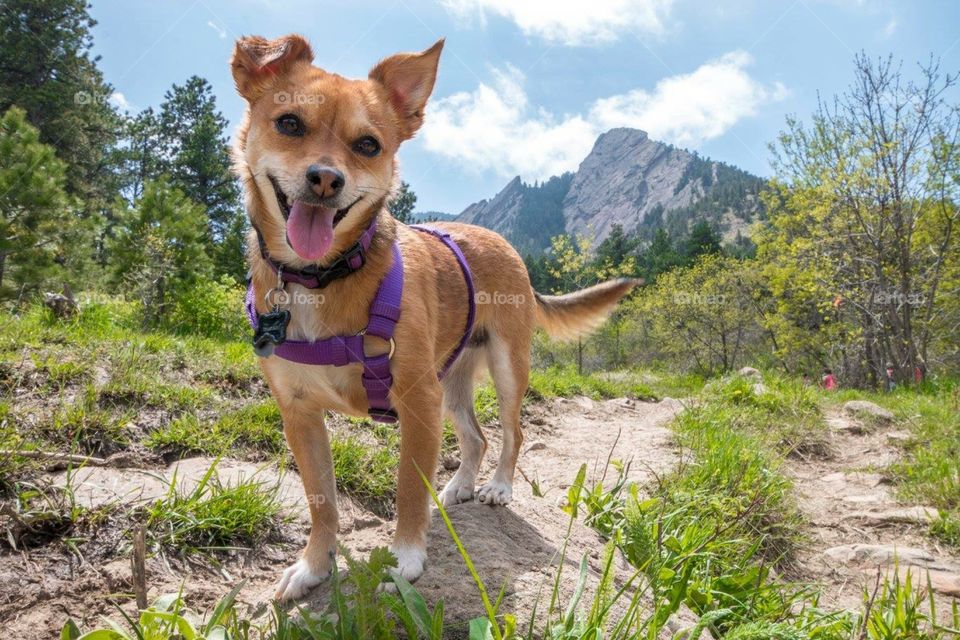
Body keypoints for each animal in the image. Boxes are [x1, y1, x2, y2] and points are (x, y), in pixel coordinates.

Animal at [230, 33, 640, 600]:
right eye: (289, 123)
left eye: (368, 146)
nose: (326, 179)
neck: (322, 275)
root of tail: (502, 242)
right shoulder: (299, 415)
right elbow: (322, 501)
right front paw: (314, 566)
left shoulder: (417, 402)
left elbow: (408, 488)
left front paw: (405, 559)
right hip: (452, 382)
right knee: (477, 437)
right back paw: (461, 485)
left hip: (506, 370)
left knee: (510, 433)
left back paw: (497, 487)